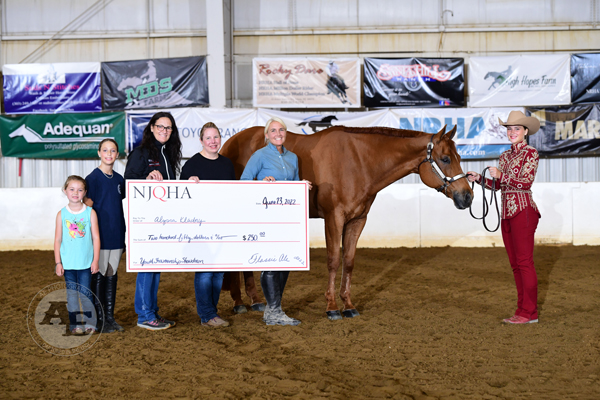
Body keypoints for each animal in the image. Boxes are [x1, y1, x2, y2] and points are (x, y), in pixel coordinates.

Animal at [220, 123, 474, 320]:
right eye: (445, 158)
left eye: (460, 157)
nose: (467, 196)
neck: (358, 162)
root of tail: (230, 142)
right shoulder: (334, 218)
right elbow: (333, 260)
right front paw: (332, 307)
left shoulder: (357, 220)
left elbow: (349, 261)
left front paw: (348, 305)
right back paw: (239, 303)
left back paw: (254, 300)